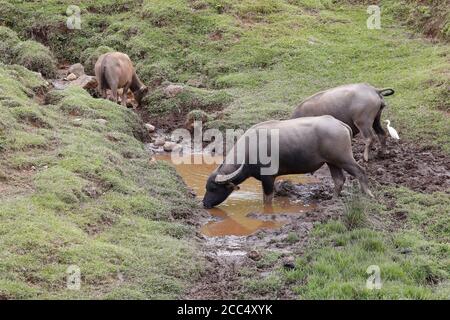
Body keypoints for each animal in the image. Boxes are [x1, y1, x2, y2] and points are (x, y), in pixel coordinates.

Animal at [202, 116, 374, 209]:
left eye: (214, 188)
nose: (204, 203)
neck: (249, 150)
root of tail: (341, 125)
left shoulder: (268, 179)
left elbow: (267, 200)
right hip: (332, 162)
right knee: (339, 180)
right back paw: (332, 201)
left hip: (344, 158)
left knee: (360, 171)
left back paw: (368, 194)